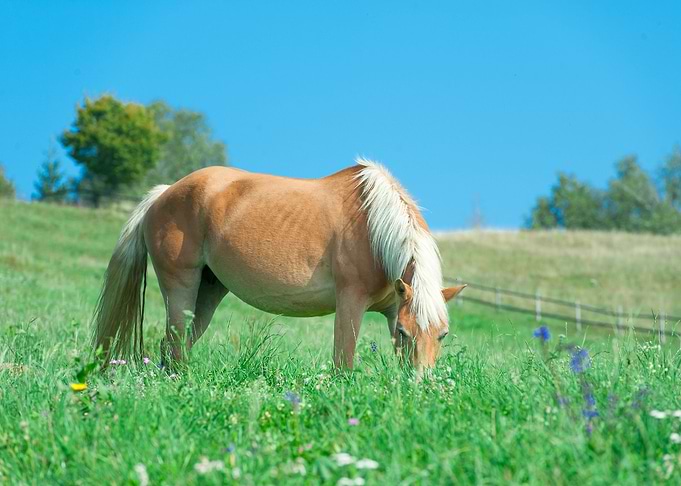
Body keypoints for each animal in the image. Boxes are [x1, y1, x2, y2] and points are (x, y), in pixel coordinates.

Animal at [92, 158, 465, 372]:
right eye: (405, 332)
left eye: (443, 334)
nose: (421, 385)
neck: (372, 225)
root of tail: (165, 192)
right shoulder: (351, 303)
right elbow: (343, 362)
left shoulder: (392, 308)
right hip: (180, 287)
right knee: (175, 344)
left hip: (208, 292)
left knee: (174, 346)